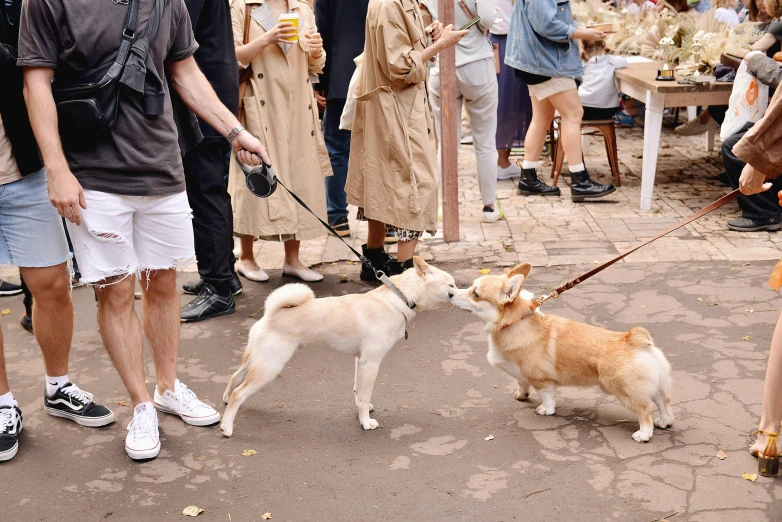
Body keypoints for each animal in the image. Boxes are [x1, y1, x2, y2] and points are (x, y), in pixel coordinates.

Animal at [219, 256, 460, 434]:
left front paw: (363, 412)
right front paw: (365, 422)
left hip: (256, 360)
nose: (461, 292)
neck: (397, 298)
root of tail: (270, 313)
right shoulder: (370, 363)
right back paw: (227, 427)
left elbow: (358, 391)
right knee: (239, 393)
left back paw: (225, 401)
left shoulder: (360, 361)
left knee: (234, 378)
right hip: (270, 367)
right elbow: (364, 395)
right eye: (451, 284)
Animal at [450, 262, 676, 440]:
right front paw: (521, 395)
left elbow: (547, 397)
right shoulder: (521, 372)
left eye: (475, 294)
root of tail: (634, 339)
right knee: (663, 402)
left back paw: (644, 434)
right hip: (657, 385)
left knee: (645, 411)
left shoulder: (541, 379)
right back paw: (664, 422)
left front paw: (545, 410)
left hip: (625, 391)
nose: (451, 293)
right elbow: (522, 384)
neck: (515, 323)